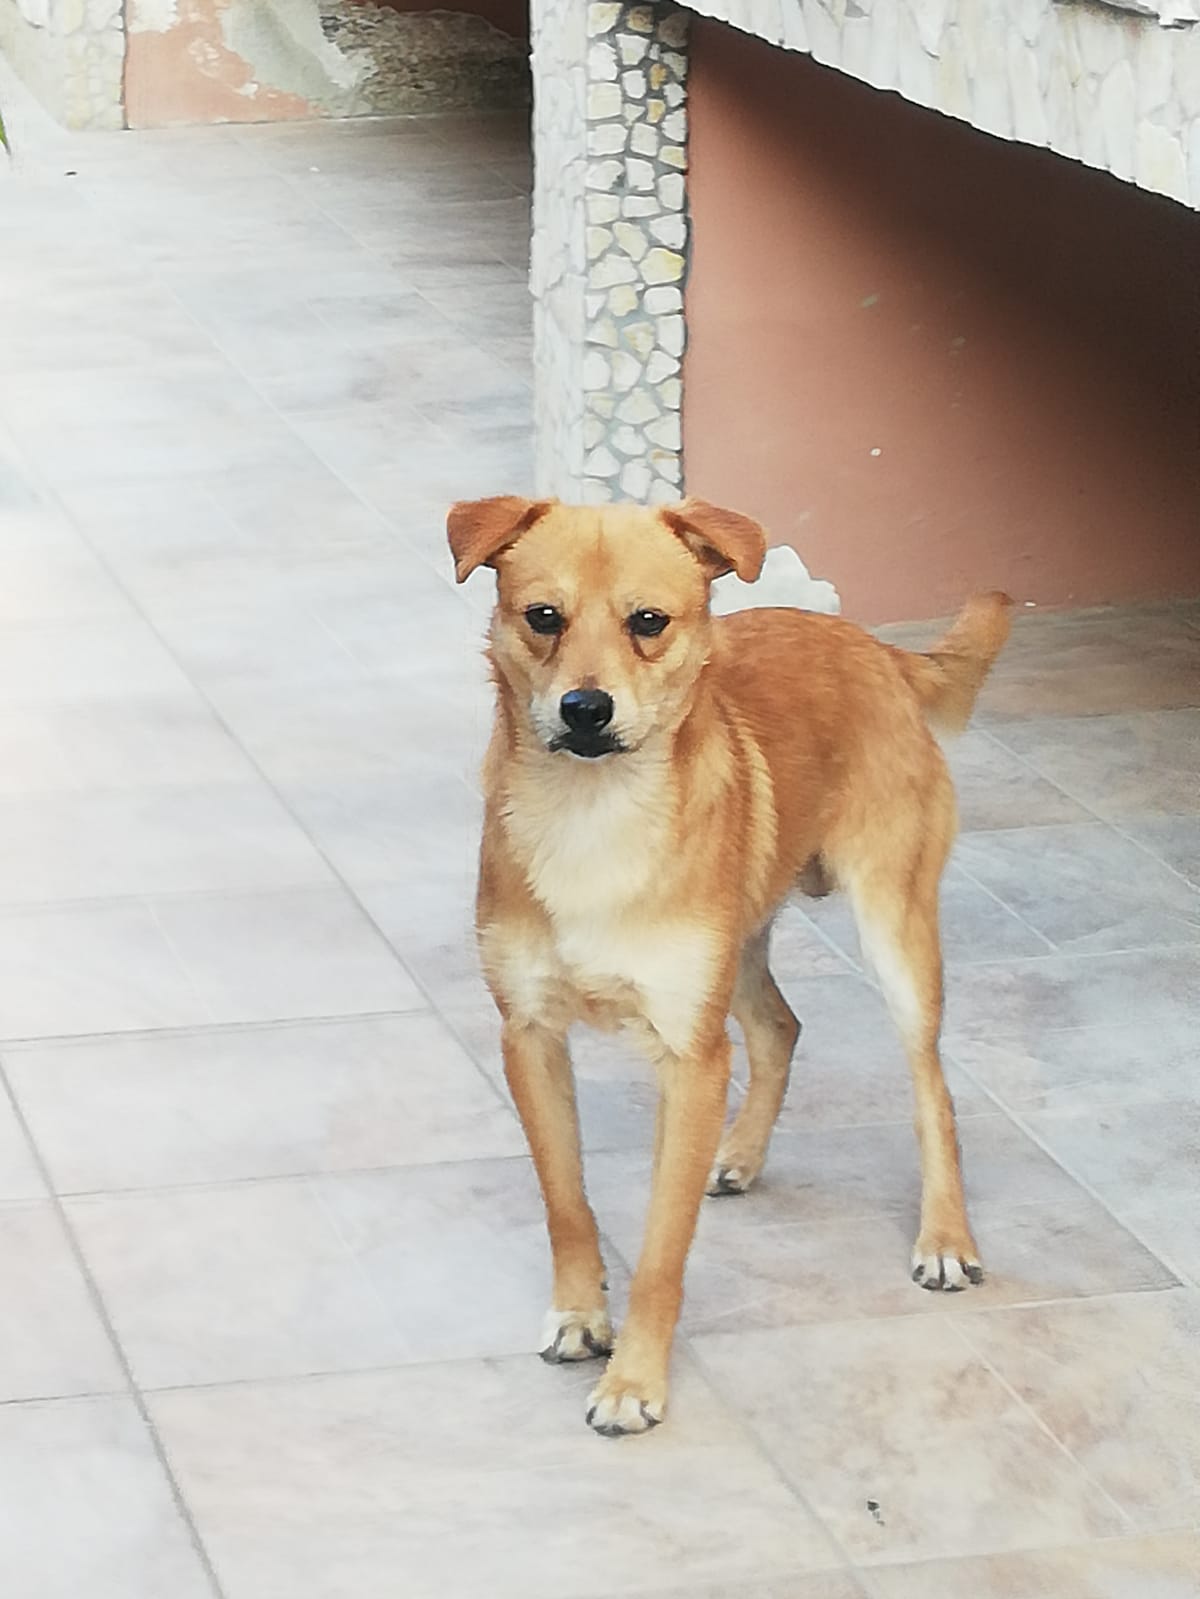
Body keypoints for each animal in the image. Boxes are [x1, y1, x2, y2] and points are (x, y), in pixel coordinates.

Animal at [447, 495, 1012, 1437]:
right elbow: (566, 1199)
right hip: (738, 939)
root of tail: (873, 646)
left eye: (648, 622)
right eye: (543, 616)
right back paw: (740, 1153)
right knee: (781, 1025)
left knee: (931, 1085)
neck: (594, 819)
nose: (585, 707)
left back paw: (944, 1237)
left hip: (894, 929)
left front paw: (635, 1380)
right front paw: (580, 1315)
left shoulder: (692, 1058)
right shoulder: (528, 1035)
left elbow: (661, 1247)